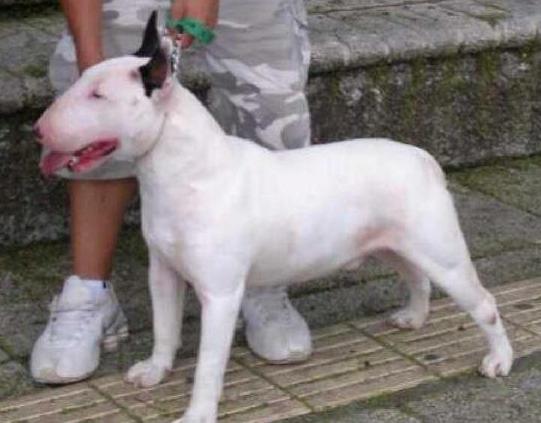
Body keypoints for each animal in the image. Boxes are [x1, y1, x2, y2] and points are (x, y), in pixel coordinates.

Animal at [35, 13, 512, 423]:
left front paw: (197, 413)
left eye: (99, 95)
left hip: (442, 253)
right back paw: (413, 317)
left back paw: (499, 359)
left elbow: (208, 366)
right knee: (416, 277)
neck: (185, 171)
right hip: (392, 243)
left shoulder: (220, 295)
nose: (38, 129)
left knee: (483, 304)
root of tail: (422, 157)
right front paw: (154, 371)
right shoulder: (164, 273)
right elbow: (164, 329)